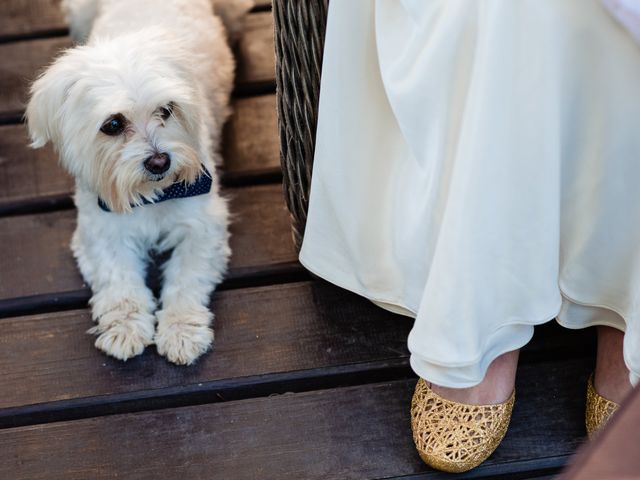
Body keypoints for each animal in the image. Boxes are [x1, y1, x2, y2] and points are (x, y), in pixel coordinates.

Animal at [27, 0, 252, 366]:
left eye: (167, 110)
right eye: (113, 124)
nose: (160, 161)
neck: (153, 195)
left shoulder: (203, 226)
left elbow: (185, 279)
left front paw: (181, 331)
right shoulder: (100, 229)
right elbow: (119, 282)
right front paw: (125, 328)